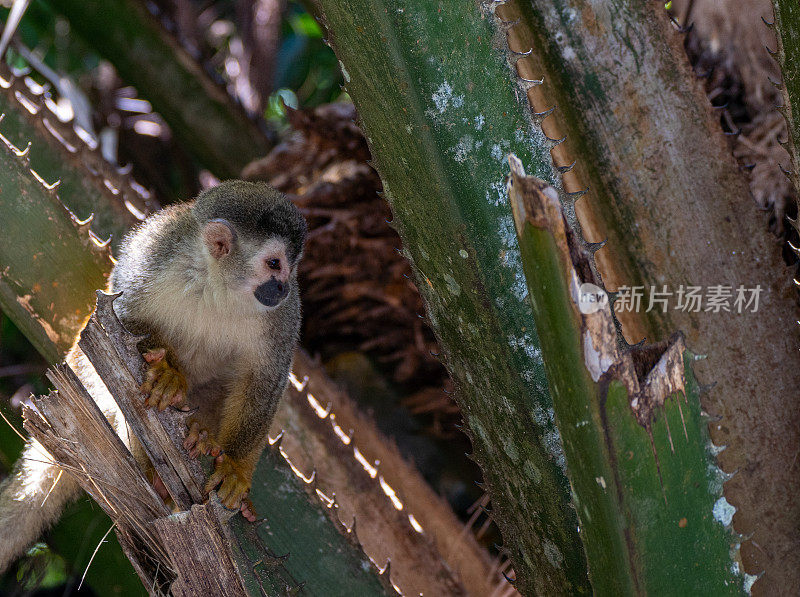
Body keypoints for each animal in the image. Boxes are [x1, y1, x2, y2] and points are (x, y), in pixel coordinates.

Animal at [0, 179, 306, 572]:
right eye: (274, 263)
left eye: (290, 269)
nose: (282, 287)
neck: (221, 287)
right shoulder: (156, 256)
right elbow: (120, 315)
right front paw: (169, 371)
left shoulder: (284, 316)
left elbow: (265, 380)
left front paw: (236, 468)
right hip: (87, 374)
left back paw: (200, 437)